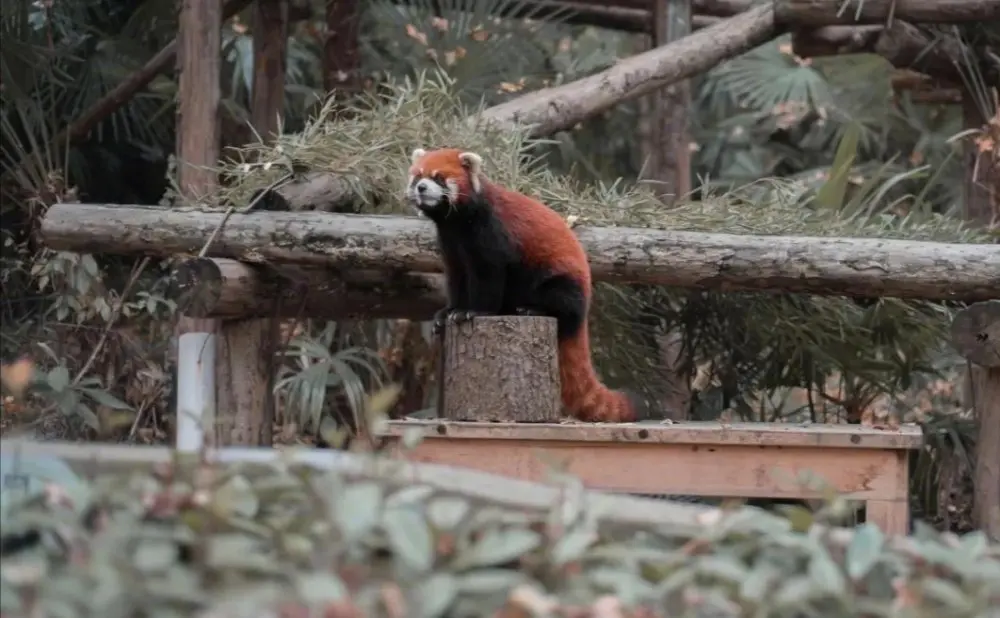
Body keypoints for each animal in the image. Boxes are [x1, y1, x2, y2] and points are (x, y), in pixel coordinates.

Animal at [404, 147, 648, 422]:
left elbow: (488, 277)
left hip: (563, 281)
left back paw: (533, 309)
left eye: (439, 177)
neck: (457, 222)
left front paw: (473, 311)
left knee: (562, 302)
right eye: (418, 176)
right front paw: (447, 313)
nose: (421, 187)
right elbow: (457, 280)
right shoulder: (451, 246)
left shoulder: (491, 234)